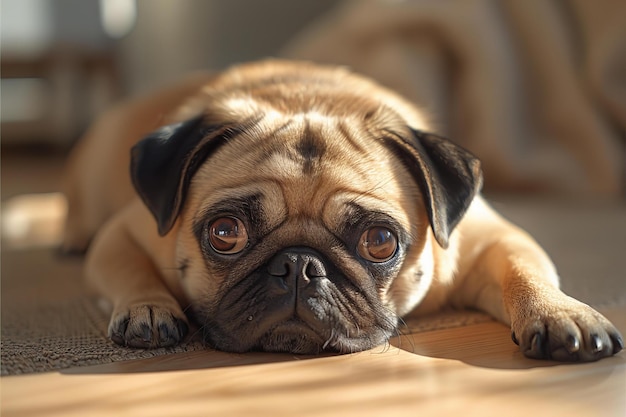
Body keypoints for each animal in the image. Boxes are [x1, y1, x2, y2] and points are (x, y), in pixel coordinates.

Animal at [63, 59, 620, 360]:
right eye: (225, 233)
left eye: (380, 241)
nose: (298, 264)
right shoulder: (124, 233)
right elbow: (128, 268)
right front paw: (148, 307)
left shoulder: (490, 241)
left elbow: (525, 271)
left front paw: (560, 313)